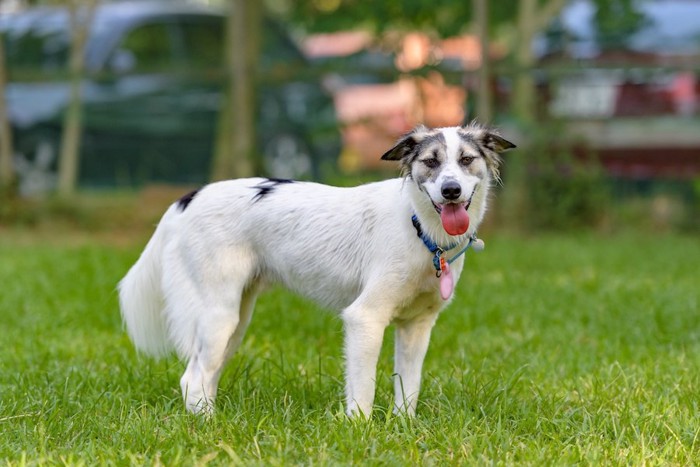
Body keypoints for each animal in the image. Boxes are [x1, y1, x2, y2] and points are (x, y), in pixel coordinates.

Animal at [119, 123, 516, 416]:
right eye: (431, 162)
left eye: (466, 160)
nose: (451, 191)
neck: (418, 225)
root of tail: (189, 197)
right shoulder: (364, 318)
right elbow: (363, 389)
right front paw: (360, 431)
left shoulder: (416, 327)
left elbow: (408, 389)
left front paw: (403, 428)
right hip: (219, 316)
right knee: (192, 378)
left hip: (235, 321)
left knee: (204, 376)